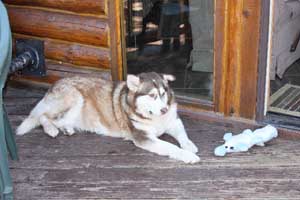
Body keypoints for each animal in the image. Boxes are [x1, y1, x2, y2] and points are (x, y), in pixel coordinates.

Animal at [15, 72, 199, 163]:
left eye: (162, 94)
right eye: (152, 95)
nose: (164, 109)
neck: (152, 117)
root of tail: (55, 84)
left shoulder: (173, 121)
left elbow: (183, 134)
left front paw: (189, 146)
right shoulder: (143, 138)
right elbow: (171, 147)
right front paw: (188, 156)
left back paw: (67, 129)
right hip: (75, 99)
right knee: (42, 117)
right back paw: (51, 129)